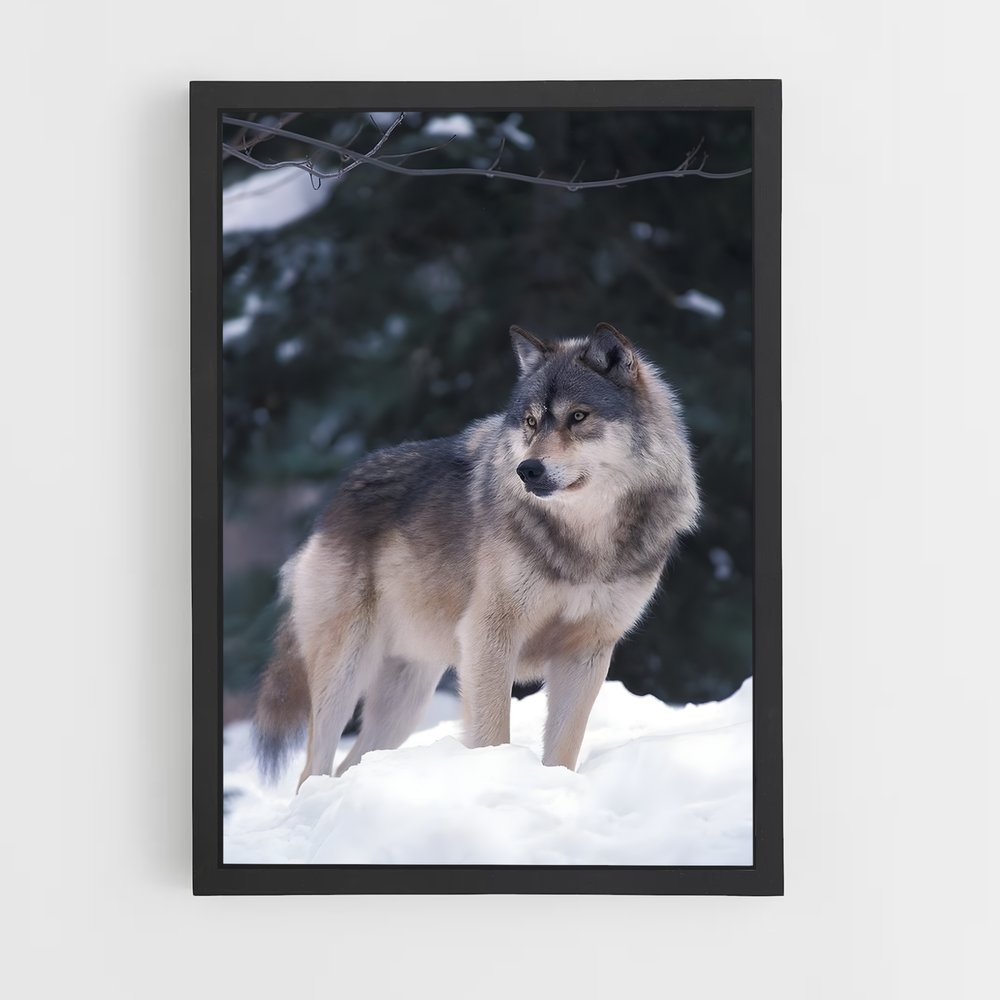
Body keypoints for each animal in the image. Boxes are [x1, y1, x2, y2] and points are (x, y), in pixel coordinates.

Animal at [253, 323, 700, 787]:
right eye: (530, 421)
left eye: (578, 416)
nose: (528, 470)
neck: (585, 542)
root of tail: (332, 503)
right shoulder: (490, 636)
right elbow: (492, 733)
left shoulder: (587, 652)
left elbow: (563, 749)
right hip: (347, 671)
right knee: (313, 769)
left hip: (406, 698)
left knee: (348, 765)